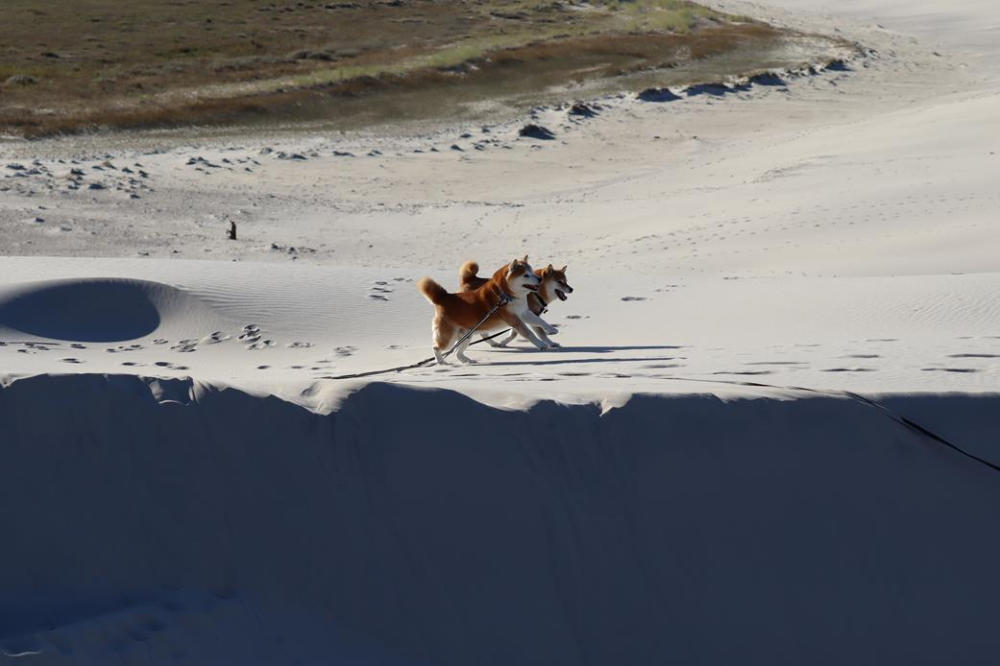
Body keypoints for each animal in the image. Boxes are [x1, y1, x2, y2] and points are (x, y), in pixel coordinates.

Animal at [417, 257, 554, 364]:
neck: (505, 295)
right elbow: (529, 333)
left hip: (467, 336)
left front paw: (552, 329)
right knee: (436, 347)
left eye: (532, 271)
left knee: (457, 352)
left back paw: (468, 361)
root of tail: (443, 297)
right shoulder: (515, 319)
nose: (540, 279)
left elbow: (539, 321)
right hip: (448, 338)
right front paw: (541, 344)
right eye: (526, 275)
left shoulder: (524, 312)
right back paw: (441, 362)